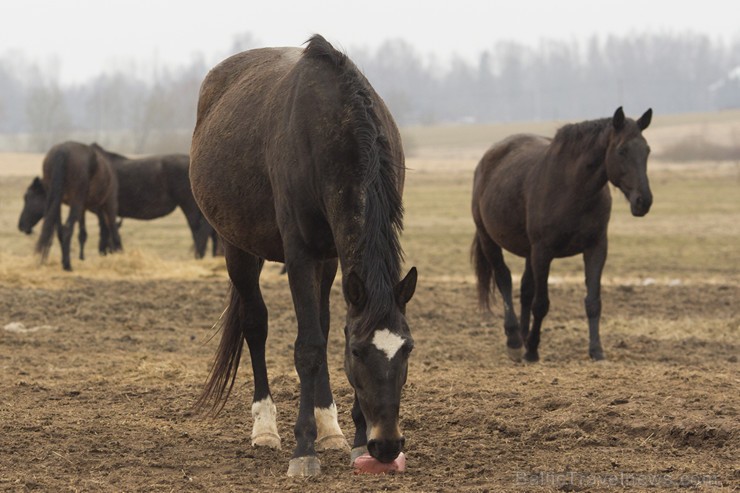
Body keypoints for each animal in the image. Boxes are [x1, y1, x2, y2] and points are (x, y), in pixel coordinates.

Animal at [18, 140, 121, 270]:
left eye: (28, 198)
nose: (21, 225)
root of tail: (62, 152)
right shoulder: (108, 204)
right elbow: (112, 230)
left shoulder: (85, 208)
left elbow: (84, 233)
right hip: (77, 204)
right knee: (67, 230)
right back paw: (67, 265)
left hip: (58, 205)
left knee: (61, 231)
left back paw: (64, 262)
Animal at [189, 35, 416, 476]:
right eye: (359, 353)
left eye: (407, 349)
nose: (386, 445)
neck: (335, 128)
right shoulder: (299, 255)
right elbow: (308, 347)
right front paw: (303, 448)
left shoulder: (334, 257)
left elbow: (329, 333)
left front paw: (353, 439)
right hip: (238, 248)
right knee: (255, 324)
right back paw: (265, 429)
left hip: (326, 261)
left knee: (322, 324)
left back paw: (331, 430)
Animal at [474, 106, 652, 362]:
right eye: (621, 150)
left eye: (647, 150)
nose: (643, 201)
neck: (573, 190)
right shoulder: (543, 251)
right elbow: (541, 303)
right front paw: (532, 350)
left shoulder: (596, 248)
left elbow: (593, 301)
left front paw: (596, 350)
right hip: (489, 239)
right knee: (504, 280)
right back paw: (515, 340)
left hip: (528, 252)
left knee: (525, 289)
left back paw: (524, 335)